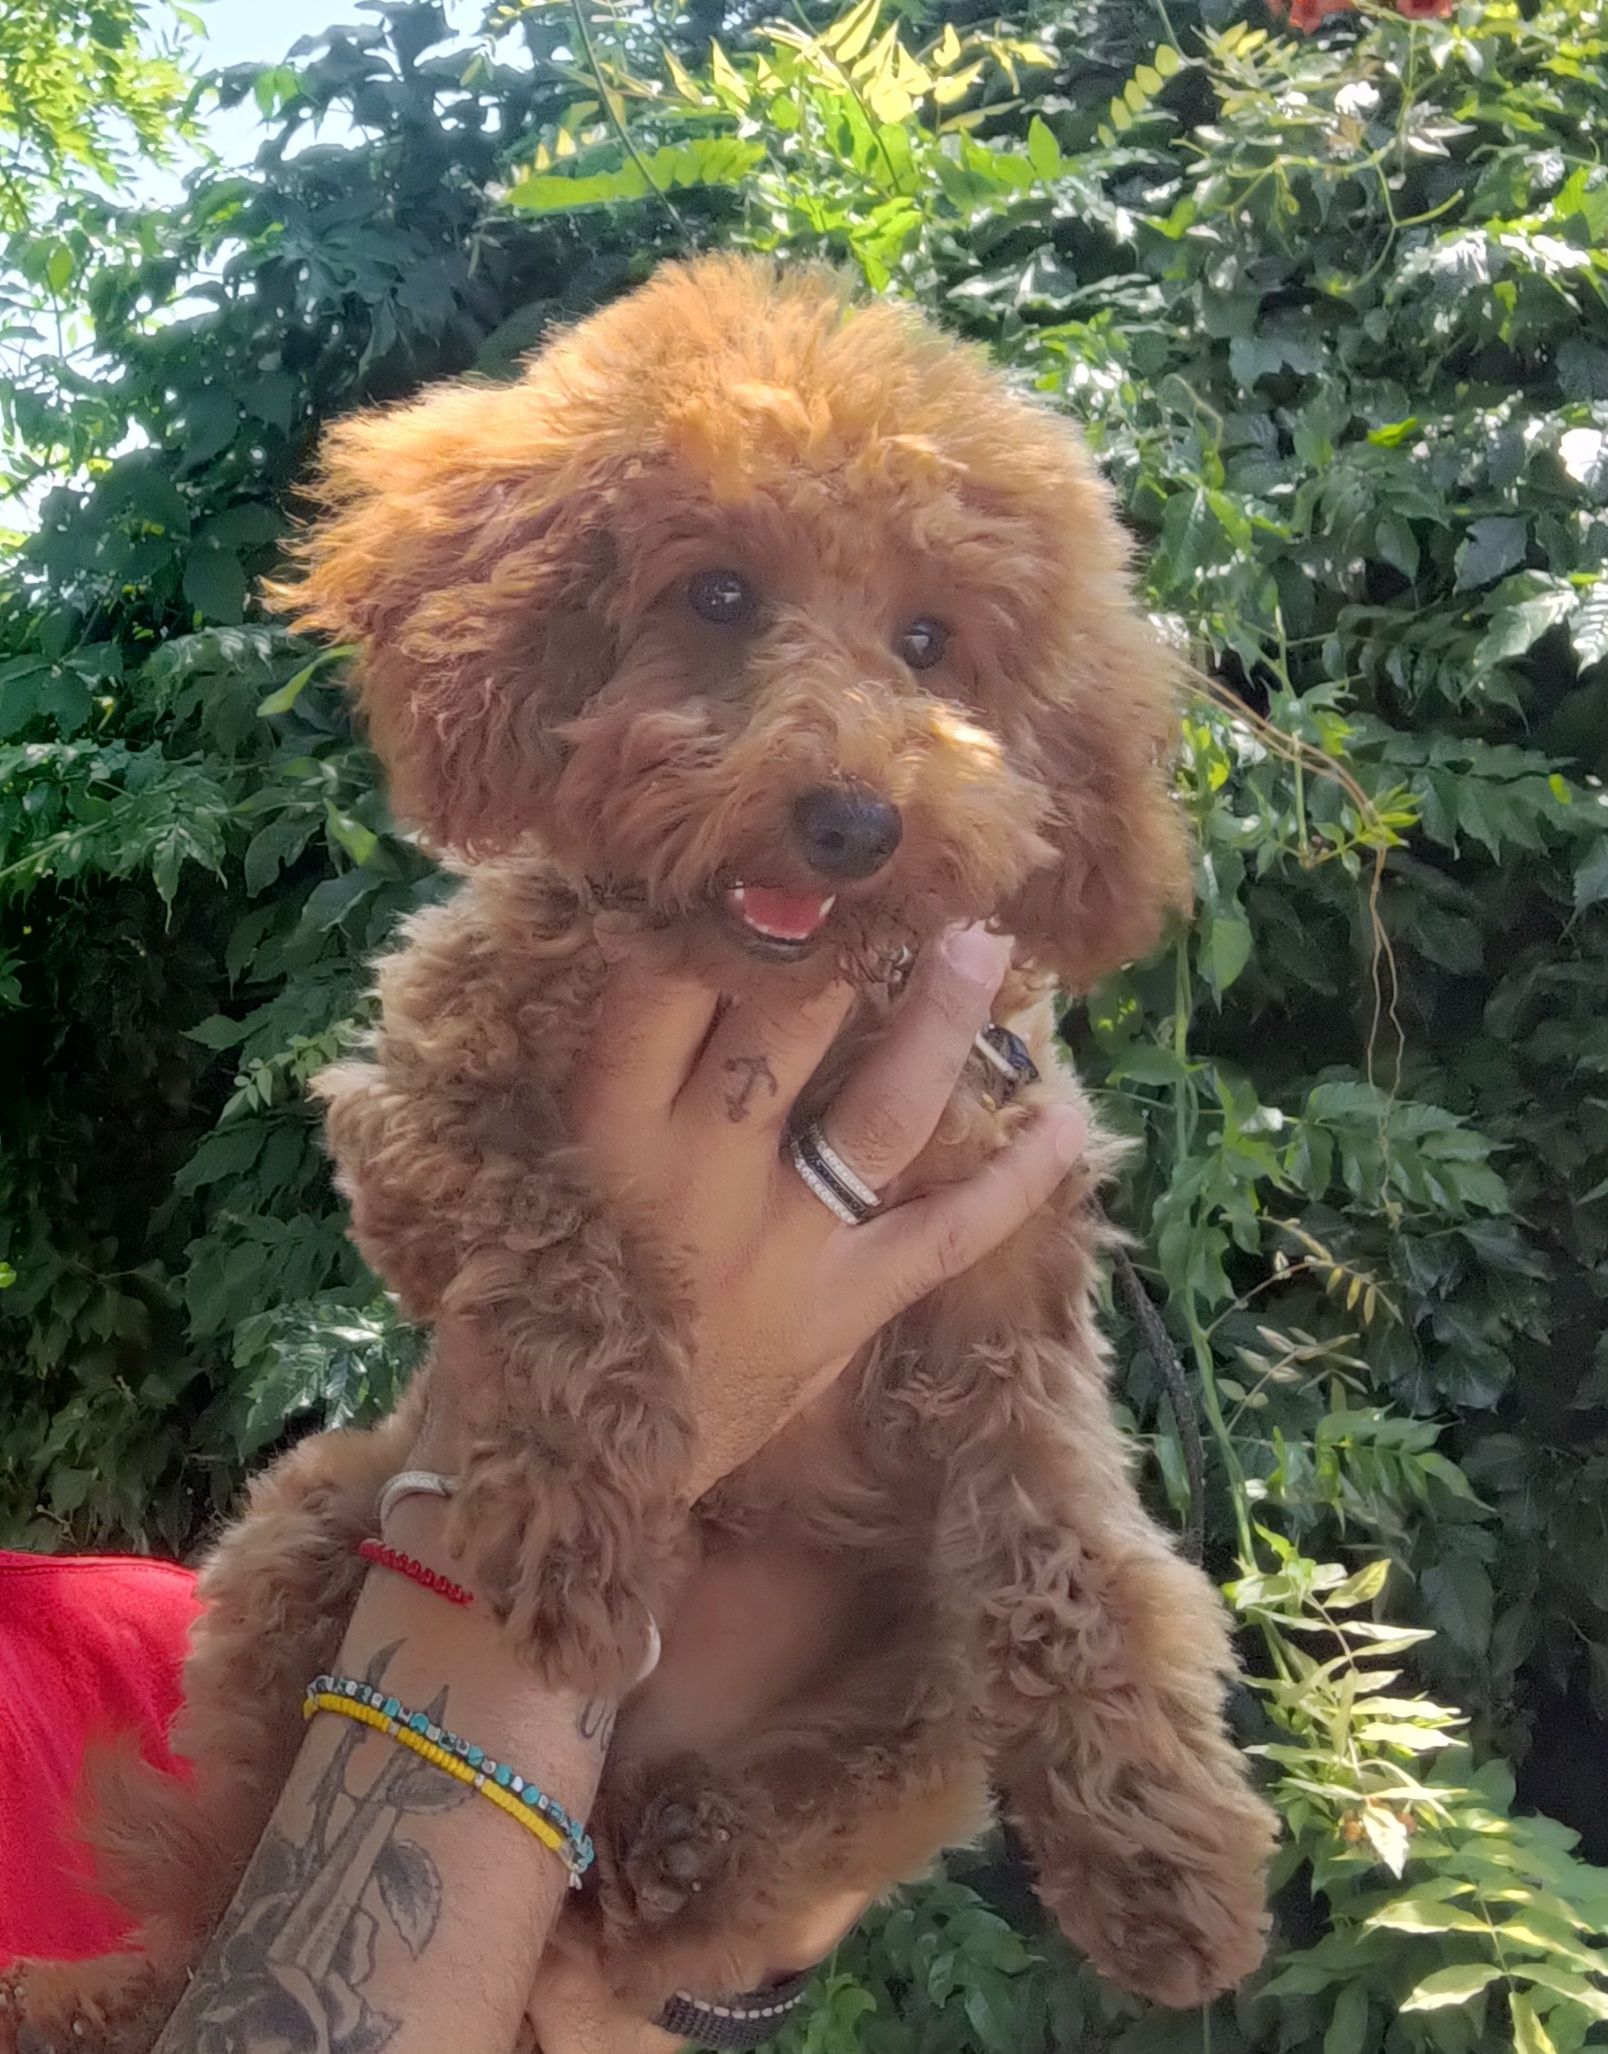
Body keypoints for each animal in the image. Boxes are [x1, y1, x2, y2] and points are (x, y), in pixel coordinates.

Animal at [1, 256, 1275, 2052]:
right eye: (721, 594)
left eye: (930, 640)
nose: (852, 821)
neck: (777, 996)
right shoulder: (415, 1117)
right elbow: (571, 1254)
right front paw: (583, 1547)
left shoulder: (1002, 1286)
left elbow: (1073, 1551)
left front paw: (1163, 1846)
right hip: (303, 1524)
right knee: (222, 1872)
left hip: (908, 1701)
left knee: (796, 1816)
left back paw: (680, 1847)